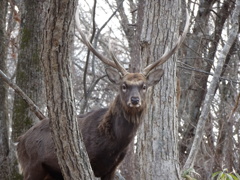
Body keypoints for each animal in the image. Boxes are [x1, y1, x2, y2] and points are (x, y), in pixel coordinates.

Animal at [16, 9, 189, 180]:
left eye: (144, 86)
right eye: (124, 85)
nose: (134, 100)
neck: (113, 145)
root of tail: (19, 141)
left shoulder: (112, 168)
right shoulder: (91, 162)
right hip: (32, 166)